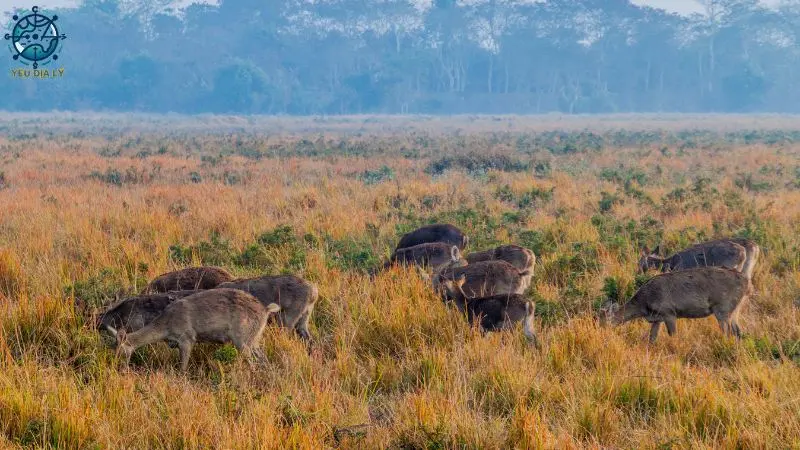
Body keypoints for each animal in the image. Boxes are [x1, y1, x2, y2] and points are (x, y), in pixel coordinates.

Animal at [114, 290, 280, 370]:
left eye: (121, 351)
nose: (119, 367)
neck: (165, 325)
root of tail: (266, 310)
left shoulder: (187, 339)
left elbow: (183, 366)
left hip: (242, 340)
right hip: (254, 339)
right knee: (263, 359)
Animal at [600, 268, 752, 344]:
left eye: (605, 321)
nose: (601, 333)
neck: (644, 303)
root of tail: (747, 282)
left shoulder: (669, 313)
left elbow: (673, 335)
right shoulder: (657, 319)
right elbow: (652, 339)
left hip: (722, 308)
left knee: (727, 332)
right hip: (735, 309)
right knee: (738, 331)